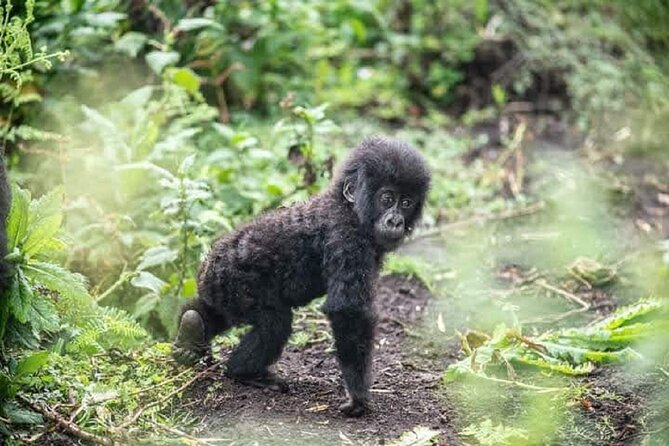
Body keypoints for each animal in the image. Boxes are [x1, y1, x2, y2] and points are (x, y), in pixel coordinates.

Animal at [173, 136, 431, 417]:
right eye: (387, 198)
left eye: (406, 203)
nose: (395, 221)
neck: (348, 208)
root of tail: (207, 266)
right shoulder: (347, 237)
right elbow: (347, 311)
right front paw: (358, 396)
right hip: (234, 282)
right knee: (275, 324)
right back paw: (243, 372)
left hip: (219, 289)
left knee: (217, 312)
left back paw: (190, 331)